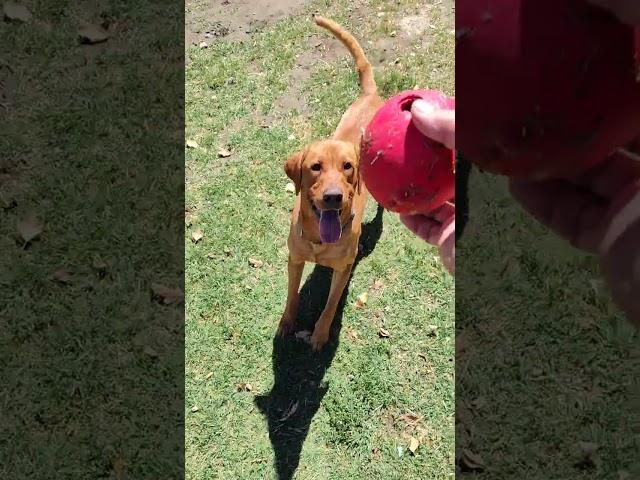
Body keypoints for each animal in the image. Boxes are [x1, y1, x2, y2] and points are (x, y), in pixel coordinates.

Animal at [278, 14, 382, 348]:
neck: (319, 241)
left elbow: (330, 304)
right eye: (315, 167)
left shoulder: (343, 270)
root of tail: (370, 95)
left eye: (348, 167)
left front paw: (320, 334)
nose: (334, 197)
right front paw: (286, 322)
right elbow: (291, 296)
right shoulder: (294, 260)